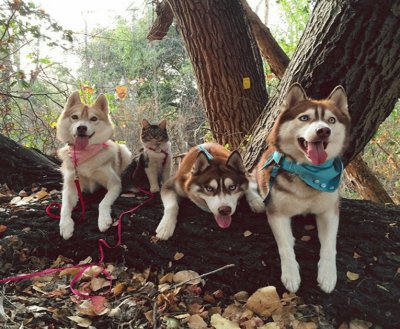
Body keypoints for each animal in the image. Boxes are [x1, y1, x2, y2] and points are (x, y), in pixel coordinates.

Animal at [55, 91, 131, 238]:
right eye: (74, 117)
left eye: (94, 119)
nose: (81, 128)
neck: (85, 153)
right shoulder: (71, 186)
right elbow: (65, 206)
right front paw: (65, 225)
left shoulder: (115, 183)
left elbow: (103, 202)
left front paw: (103, 219)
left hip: (124, 150)